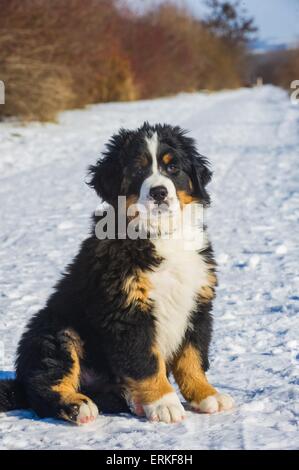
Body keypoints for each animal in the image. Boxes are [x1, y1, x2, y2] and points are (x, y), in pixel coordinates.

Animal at [0, 123, 234, 424]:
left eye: (173, 168)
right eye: (137, 170)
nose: (159, 192)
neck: (160, 234)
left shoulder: (197, 304)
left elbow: (192, 357)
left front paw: (207, 394)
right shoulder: (126, 309)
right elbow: (146, 362)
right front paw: (164, 403)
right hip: (55, 333)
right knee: (44, 386)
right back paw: (78, 406)